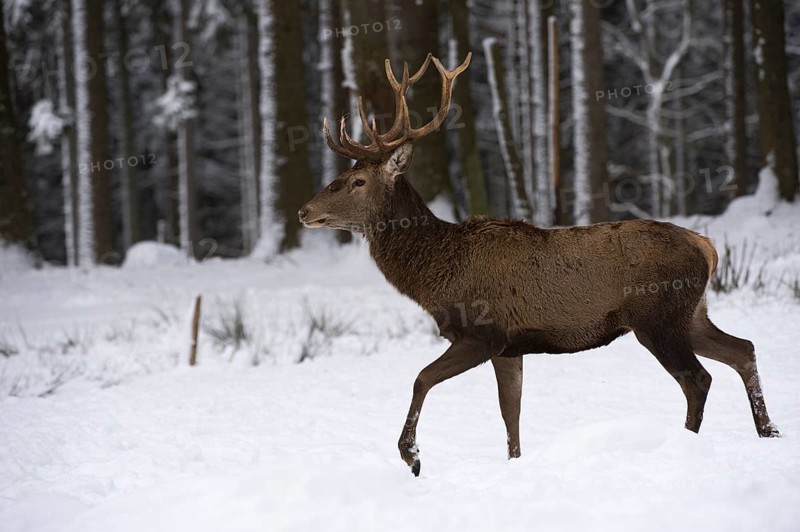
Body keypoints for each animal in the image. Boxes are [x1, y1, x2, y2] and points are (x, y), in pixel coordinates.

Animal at [298, 52, 780, 477]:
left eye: (358, 181)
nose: (304, 211)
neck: (436, 275)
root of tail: (706, 246)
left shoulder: (484, 333)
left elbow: (421, 378)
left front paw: (411, 456)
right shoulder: (511, 347)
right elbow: (510, 412)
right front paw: (514, 463)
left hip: (657, 317)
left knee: (698, 379)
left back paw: (687, 443)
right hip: (691, 313)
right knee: (743, 349)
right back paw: (768, 431)